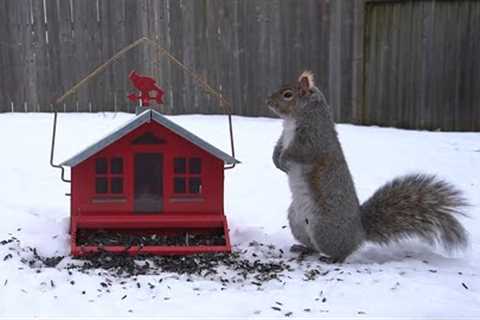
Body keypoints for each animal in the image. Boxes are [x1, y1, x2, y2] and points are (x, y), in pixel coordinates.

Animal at [268, 70, 470, 262]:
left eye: (287, 94)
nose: (267, 101)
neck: (298, 116)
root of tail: (359, 232)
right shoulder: (284, 136)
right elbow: (277, 147)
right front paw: (277, 161)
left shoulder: (313, 141)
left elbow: (298, 152)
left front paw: (284, 160)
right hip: (297, 222)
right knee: (314, 246)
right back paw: (303, 248)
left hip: (324, 228)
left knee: (342, 251)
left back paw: (333, 258)